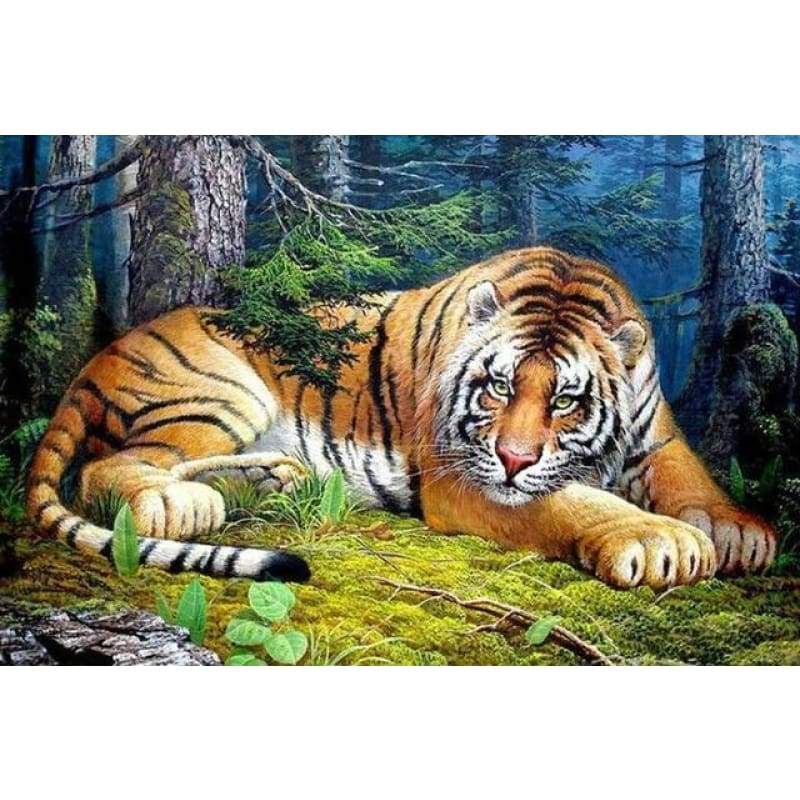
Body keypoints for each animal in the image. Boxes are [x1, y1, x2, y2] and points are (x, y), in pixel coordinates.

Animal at [26, 247, 776, 588]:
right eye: (497, 387)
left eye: (566, 399)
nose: (514, 458)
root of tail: (96, 360)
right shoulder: (463, 475)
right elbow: (575, 501)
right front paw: (659, 540)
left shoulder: (659, 435)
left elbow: (691, 477)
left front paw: (741, 532)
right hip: (220, 389)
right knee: (109, 467)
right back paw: (182, 505)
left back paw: (271, 479)